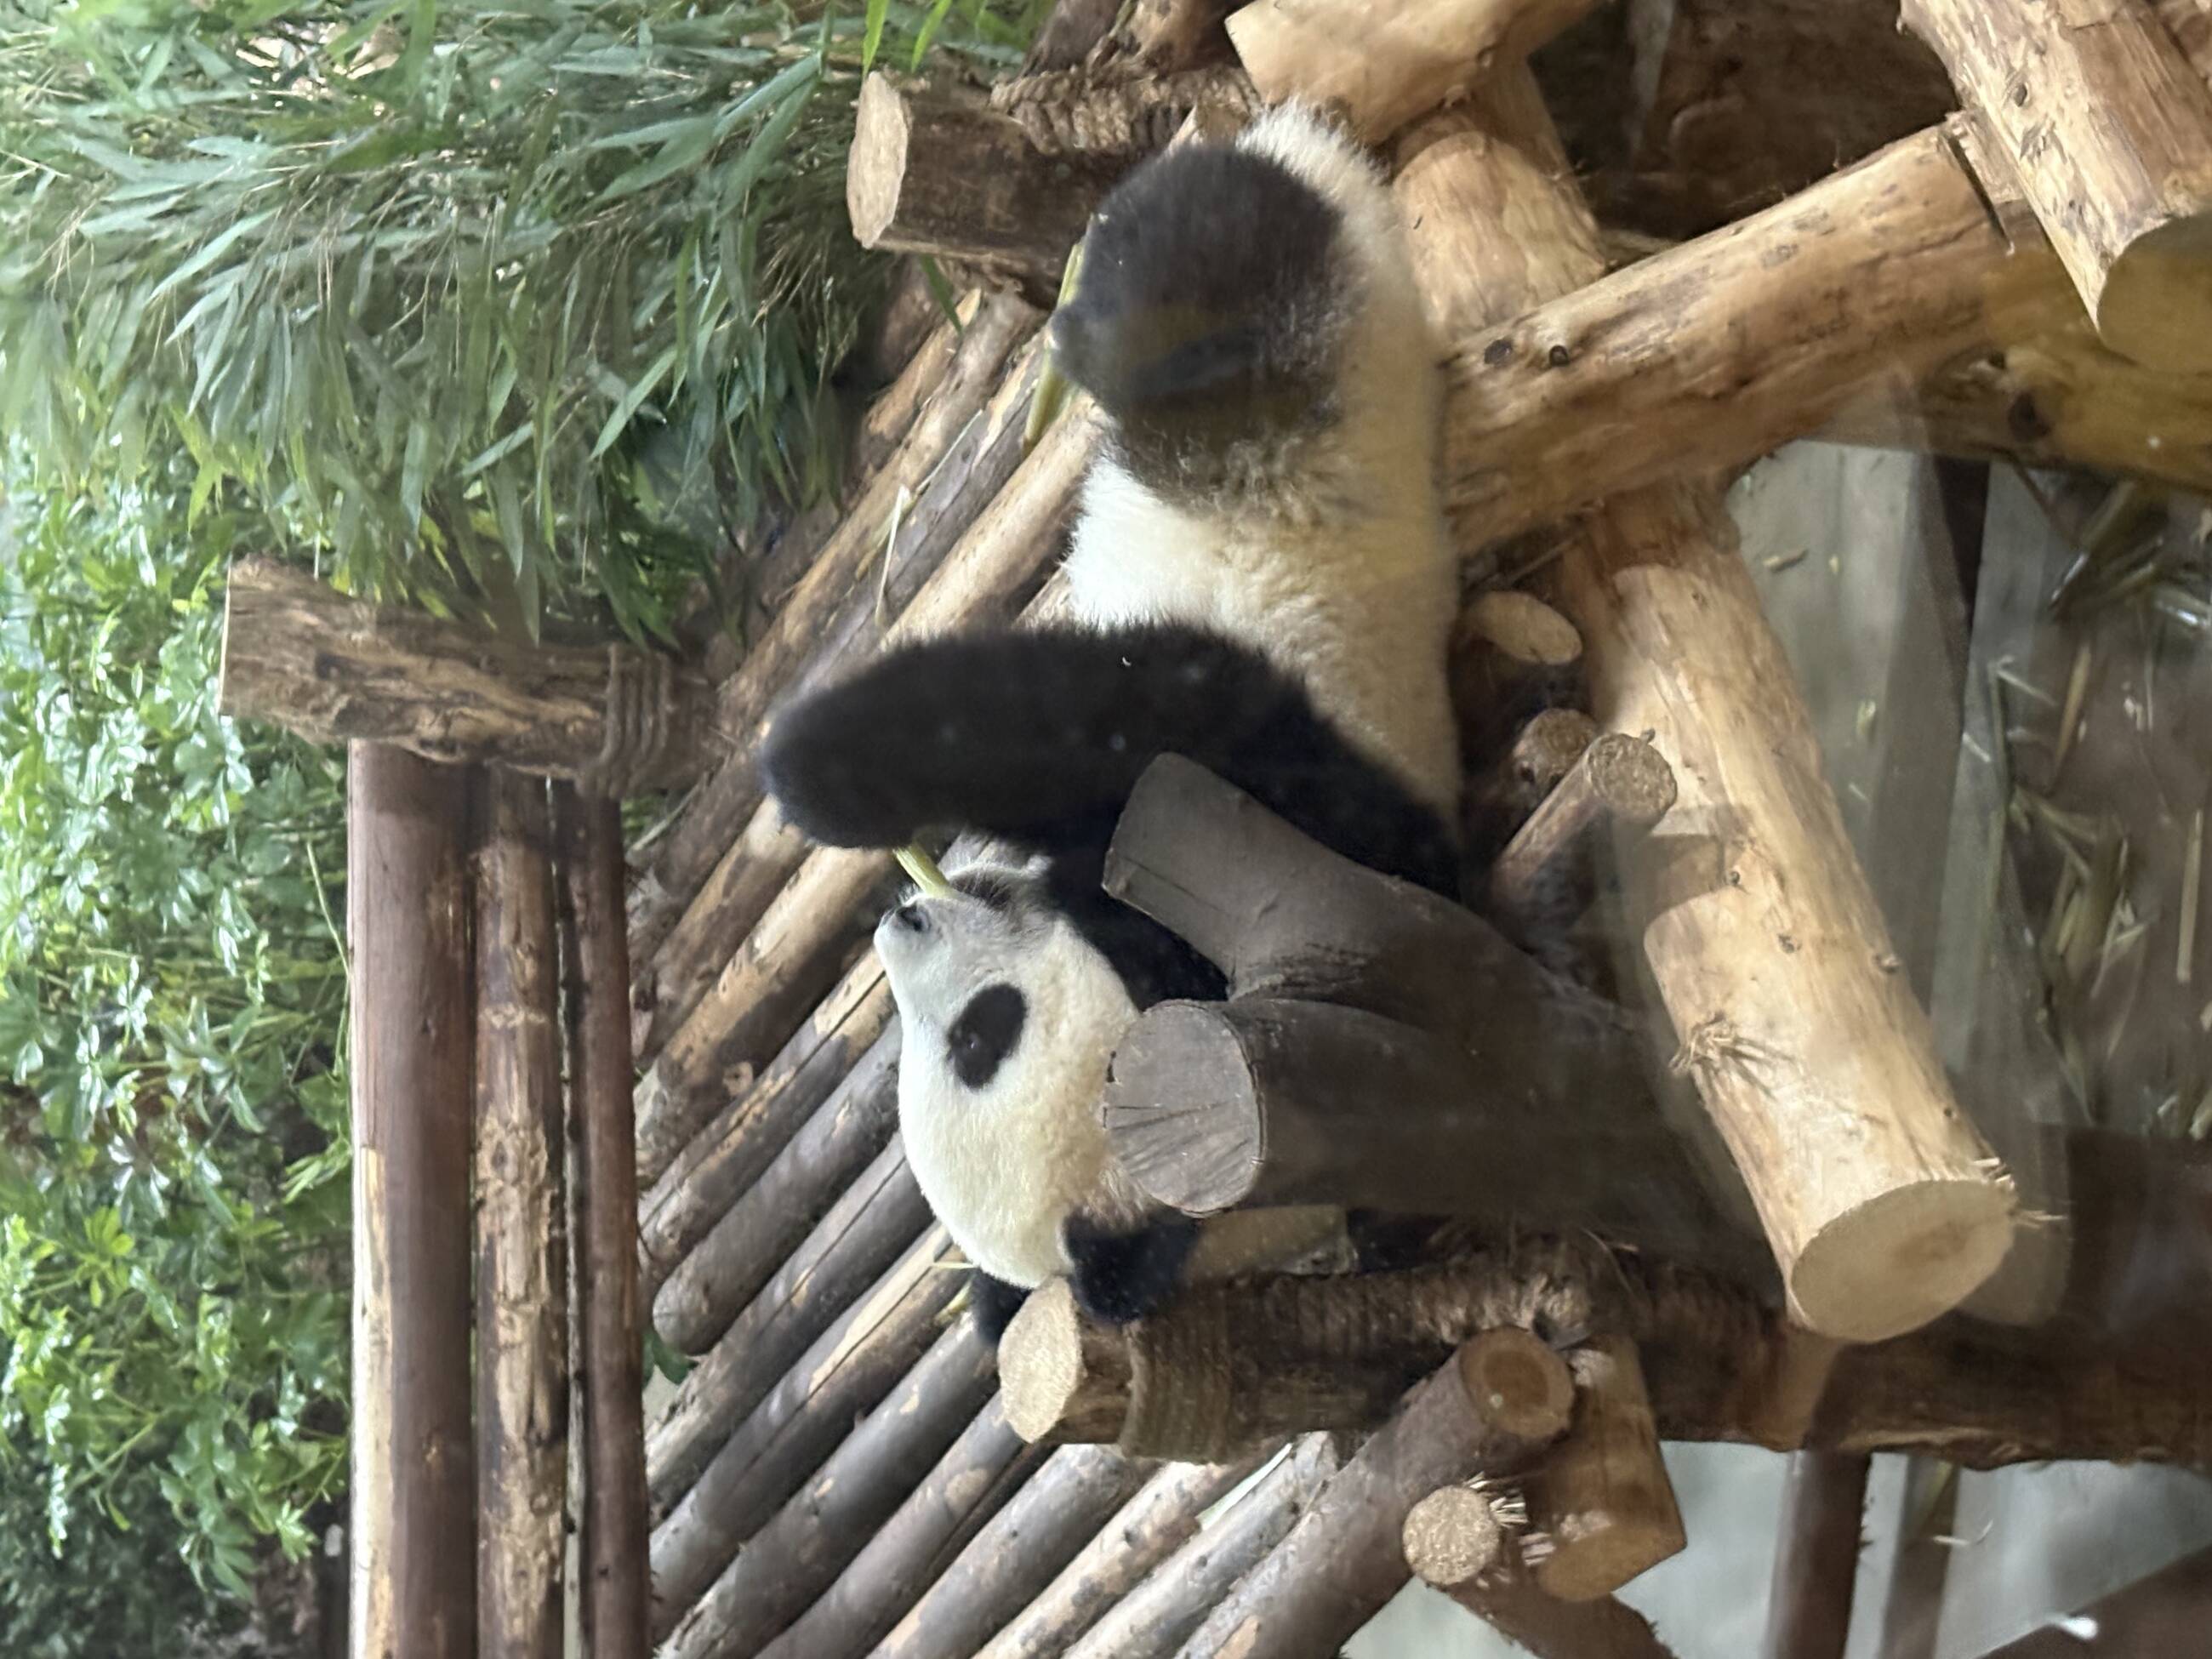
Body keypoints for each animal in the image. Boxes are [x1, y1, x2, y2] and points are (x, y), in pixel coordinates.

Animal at [759, 101, 1463, 1340]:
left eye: (979, 1038)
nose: (903, 918)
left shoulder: (1278, 825)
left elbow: (1065, 723)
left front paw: (820, 774)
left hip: (1254, 341)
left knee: (1185, 258)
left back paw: (1090, 310)